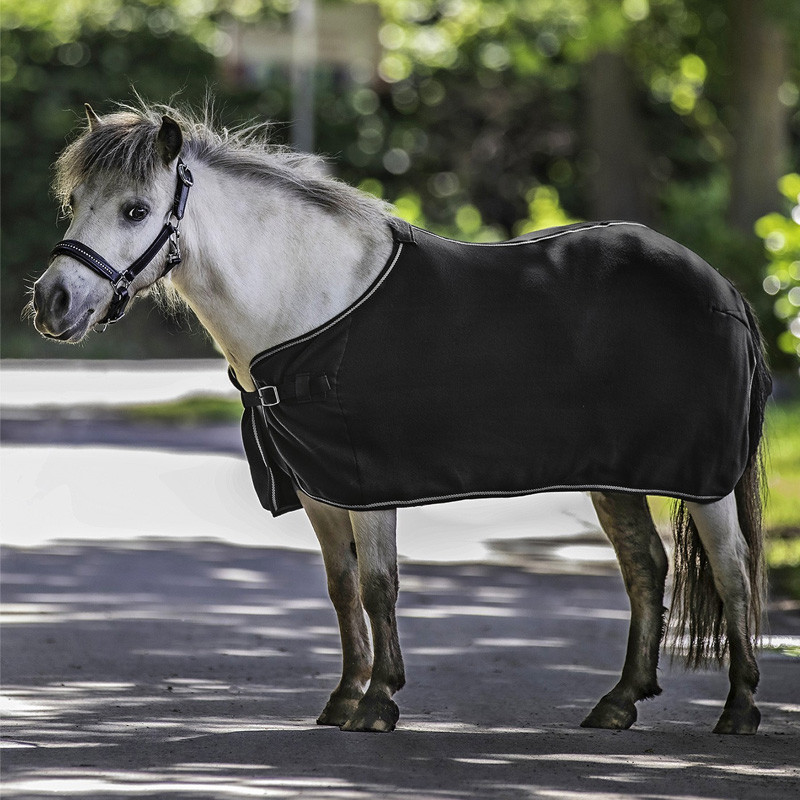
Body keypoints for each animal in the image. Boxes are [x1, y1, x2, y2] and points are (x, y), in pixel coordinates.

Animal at [29, 103, 768, 736]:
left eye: (135, 209)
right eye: (75, 203)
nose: (51, 302)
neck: (307, 301)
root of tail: (723, 289)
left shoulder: (366, 481)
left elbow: (379, 585)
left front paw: (379, 701)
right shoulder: (318, 487)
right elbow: (341, 587)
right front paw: (344, 696)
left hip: (705, 480)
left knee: (733, 571)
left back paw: (739, 709)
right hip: (617, 478)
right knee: (646, 566)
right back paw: (619, 703)